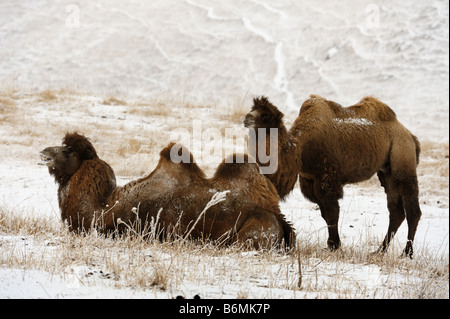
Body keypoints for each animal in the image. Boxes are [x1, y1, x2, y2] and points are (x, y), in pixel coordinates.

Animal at [243, 96, 422, 258]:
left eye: (265, 115)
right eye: (252, 109)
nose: (246, 118)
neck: (299, 149)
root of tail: (410, 135)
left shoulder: (326, 177)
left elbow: (331, 213)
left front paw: (334, 245)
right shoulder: (309, 180)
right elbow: (325, 214)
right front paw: (331, 244)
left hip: (402, 160)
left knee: (412, 210)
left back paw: (407, 253)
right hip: (387, 172)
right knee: (396, 211)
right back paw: (380, 250)